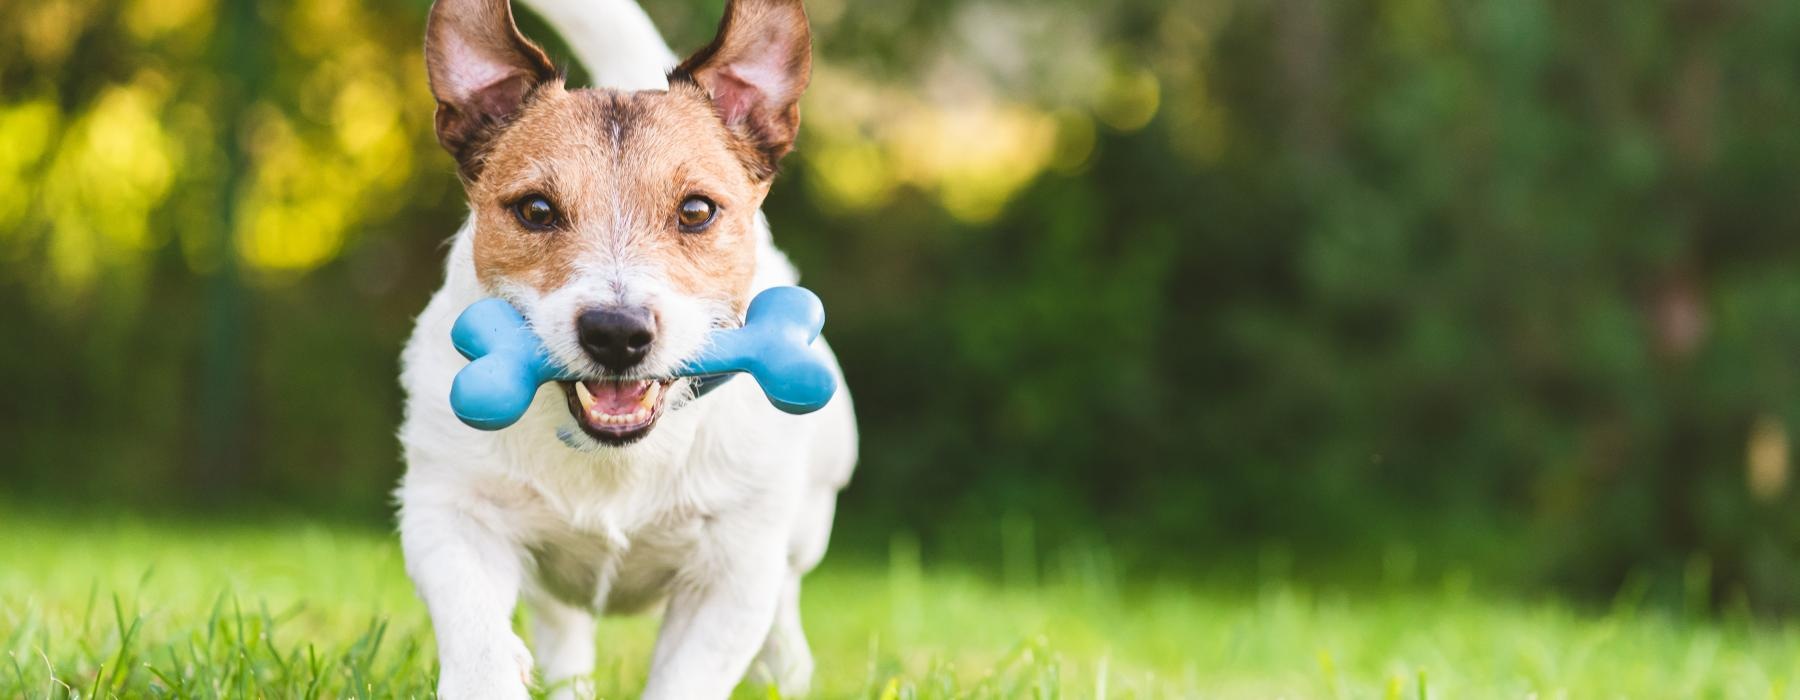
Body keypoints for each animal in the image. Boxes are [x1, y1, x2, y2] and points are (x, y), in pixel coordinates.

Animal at [397, 0, 860, 691]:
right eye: (536, 209)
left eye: (696, 211)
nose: (617, 333)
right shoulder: (450, 512)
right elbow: (476, 634)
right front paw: (494, 670)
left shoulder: (732, 571)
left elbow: (691, 673)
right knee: (563, 631)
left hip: (805, 525)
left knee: (785, 600)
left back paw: (784, 669)